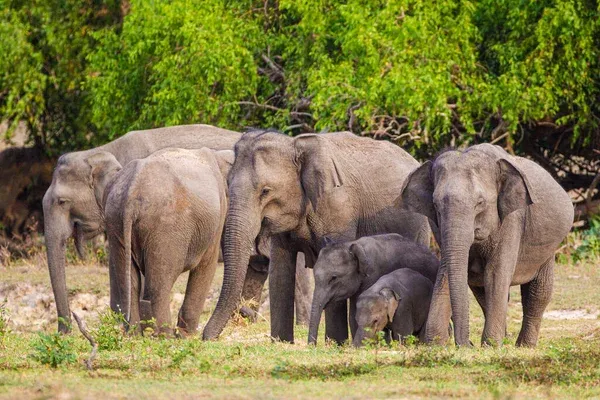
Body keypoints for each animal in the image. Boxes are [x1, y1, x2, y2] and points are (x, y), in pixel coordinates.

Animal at [104, 147, 233, 334]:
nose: (205, 337)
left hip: (115, 220)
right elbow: (207, 263)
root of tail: (133, 188)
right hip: (166, 227)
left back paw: (134, 335)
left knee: (129, 282)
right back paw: (166, 336)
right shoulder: (219, 214)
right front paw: (187, 336)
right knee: (159, 283)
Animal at [400, 144, 576, 346]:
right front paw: (435, 344)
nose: (467, 344)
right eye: (435, 205)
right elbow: (445, 271)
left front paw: (490, 345)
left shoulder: (511, 219)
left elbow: (495, 273)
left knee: (538, 291)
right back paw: (507, 339)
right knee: (483, 293)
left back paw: (524, 346)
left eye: (480, 202)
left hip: (548, 246)